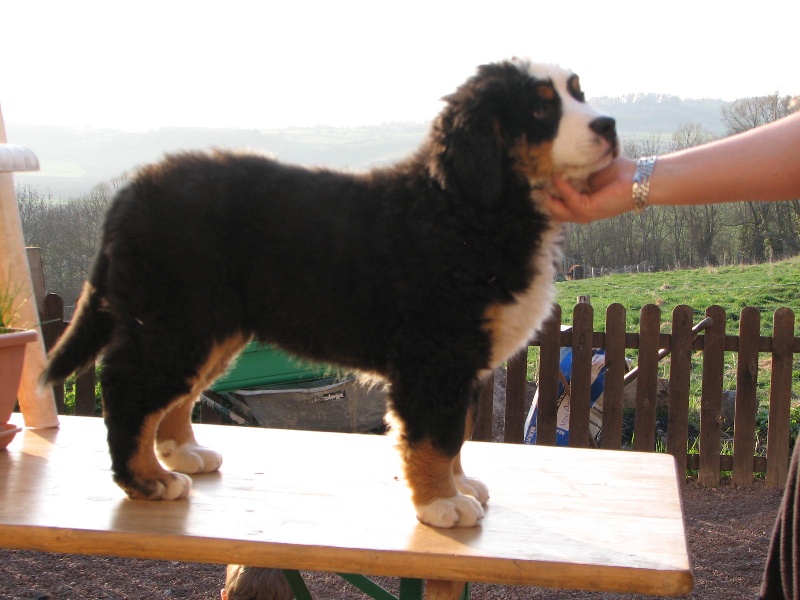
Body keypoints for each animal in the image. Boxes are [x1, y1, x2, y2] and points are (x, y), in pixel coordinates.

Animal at [43, 58, 618, 528]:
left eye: (578, 92)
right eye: (541, 109)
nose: (609, 125)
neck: (468, 208)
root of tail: (132, 189)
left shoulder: (461, 363)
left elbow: (455, 432)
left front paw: (460, 486)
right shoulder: (434, 357)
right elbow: (433, 437)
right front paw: (442, 504)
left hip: (207, 328)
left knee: (175, 394)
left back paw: (183, 454)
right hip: (177, 321)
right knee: (128, 388)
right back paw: (147, 480)